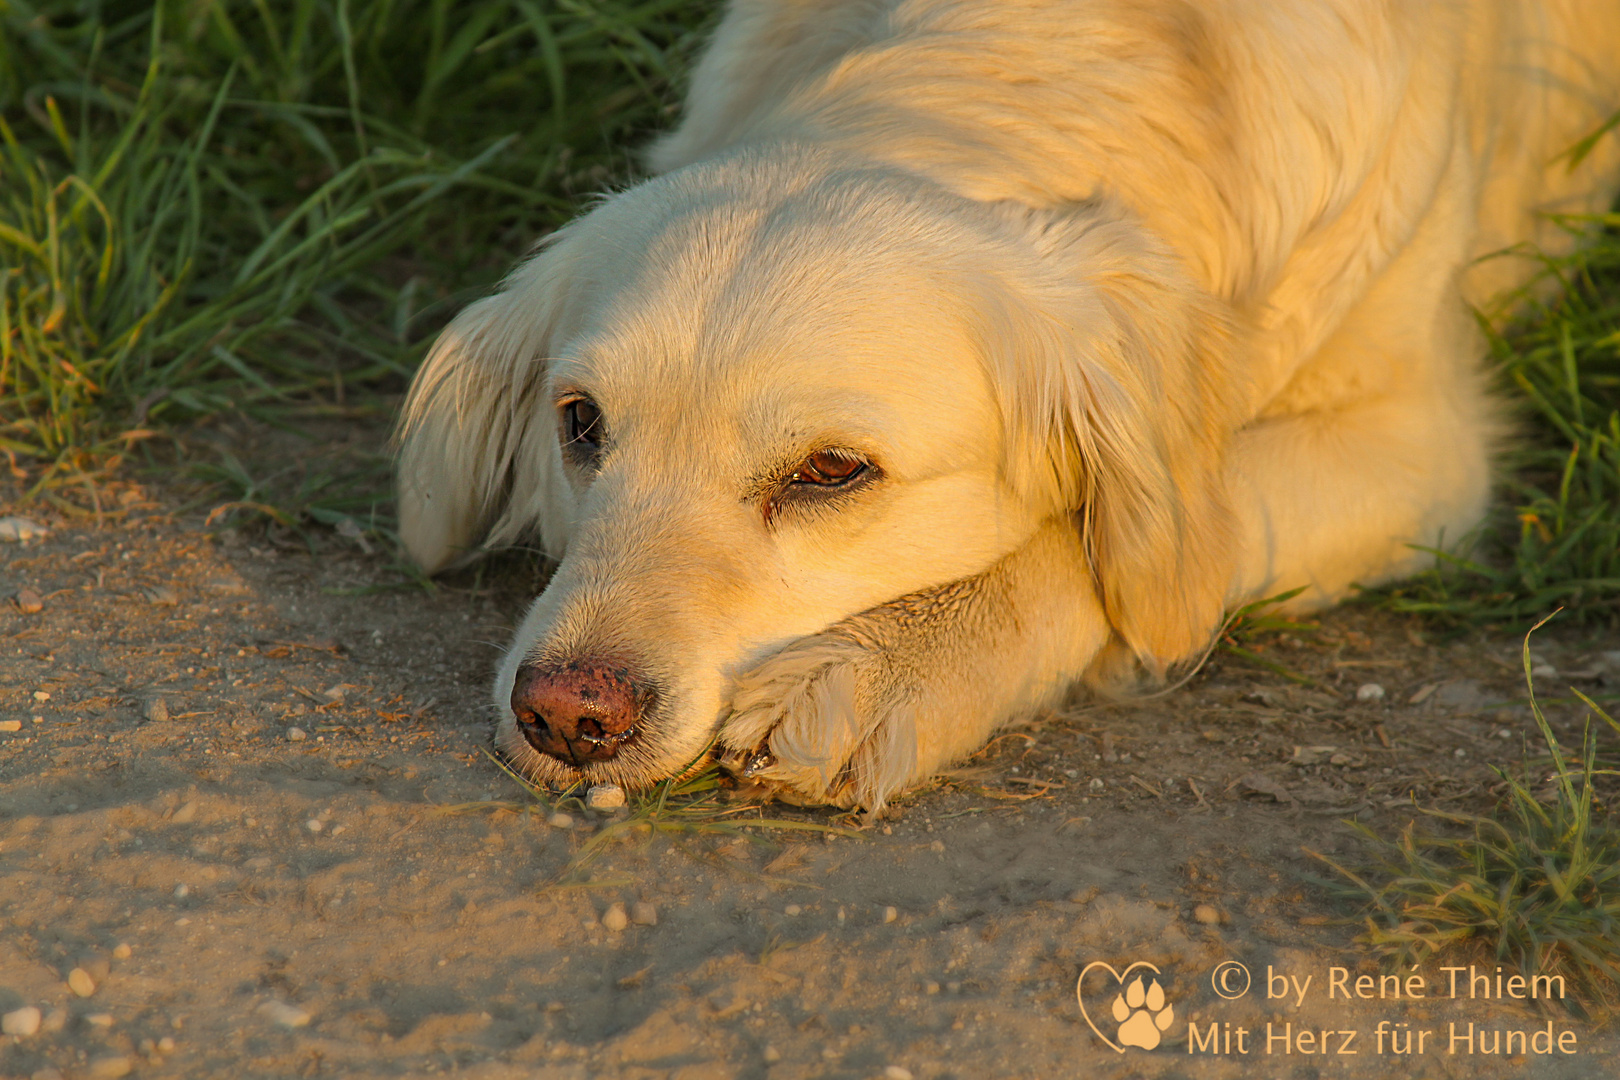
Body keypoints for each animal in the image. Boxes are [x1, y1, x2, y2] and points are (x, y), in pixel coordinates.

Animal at [398, 2, 1620, 809]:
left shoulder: (1418, 448)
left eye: (831, 472)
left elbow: (1091, 550)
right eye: (582, 425)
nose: (568, 715)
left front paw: (876, 673)